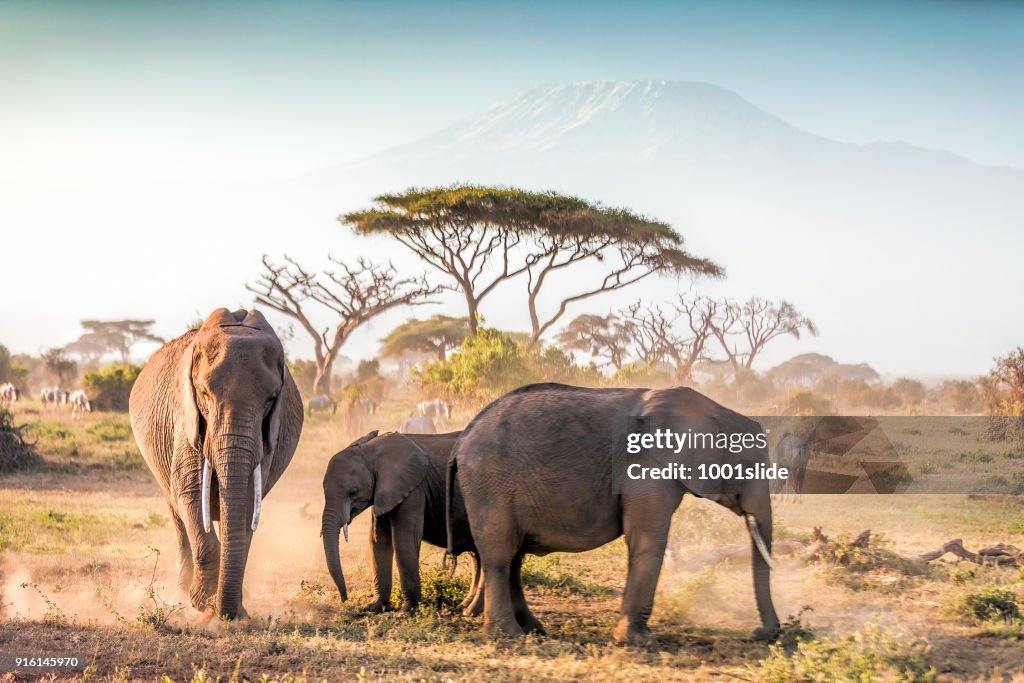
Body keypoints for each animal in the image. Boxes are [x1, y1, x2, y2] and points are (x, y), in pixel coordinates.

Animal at [130, 307, 301, 618]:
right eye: (205, 395)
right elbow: (191, 492)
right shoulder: (185, 419)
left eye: (271, 400)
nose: (229, 614)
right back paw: (180, 597)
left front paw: (221, 607)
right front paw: (202, 602)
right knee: (178, 518)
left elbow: (246, 500)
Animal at [319, 432, 479, 614]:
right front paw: (374, 607)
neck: (372, 451)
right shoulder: (383, 493)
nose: (345, 599)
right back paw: (465, 608)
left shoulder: (414, 490)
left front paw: (406, 612)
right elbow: (378, 541)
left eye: (353, 491)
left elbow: (403, 540)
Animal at [448, 385, 774, 643]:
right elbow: (647, 540)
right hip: (490, 484)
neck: (714, 409)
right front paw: (637, 642)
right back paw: (507, 636)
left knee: (514, 557)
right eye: (749, 466)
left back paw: (533, 630)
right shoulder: (646, 467)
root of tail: (463, 439)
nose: (763, 634)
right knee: (500, 556)